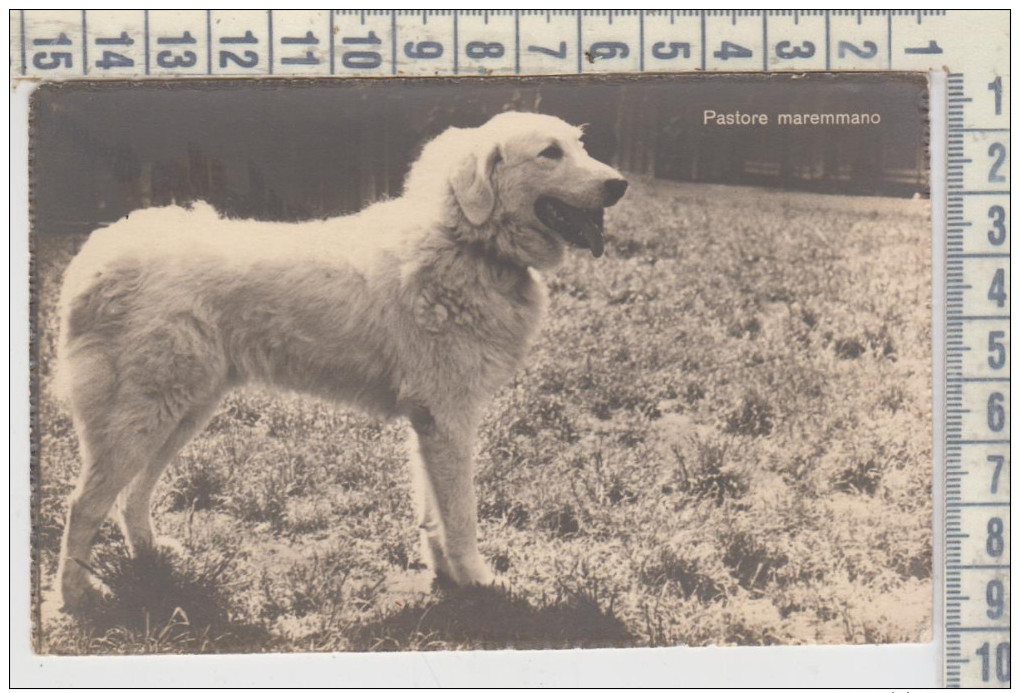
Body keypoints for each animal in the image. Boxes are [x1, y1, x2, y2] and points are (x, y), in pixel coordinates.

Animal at [57, 111, 628, 608]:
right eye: (550, 153)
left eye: (579, 145)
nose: (620, 185)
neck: (463, 241)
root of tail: (96, 258)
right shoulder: (448, 417)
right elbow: (461, 514)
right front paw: (478, 581)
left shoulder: (430, 421)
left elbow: (433, 512)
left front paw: (447, 577)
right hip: (145, 414)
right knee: (83, 505)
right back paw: (78, 595)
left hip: (182, 412)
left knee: (132, 495)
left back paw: (150, 555)